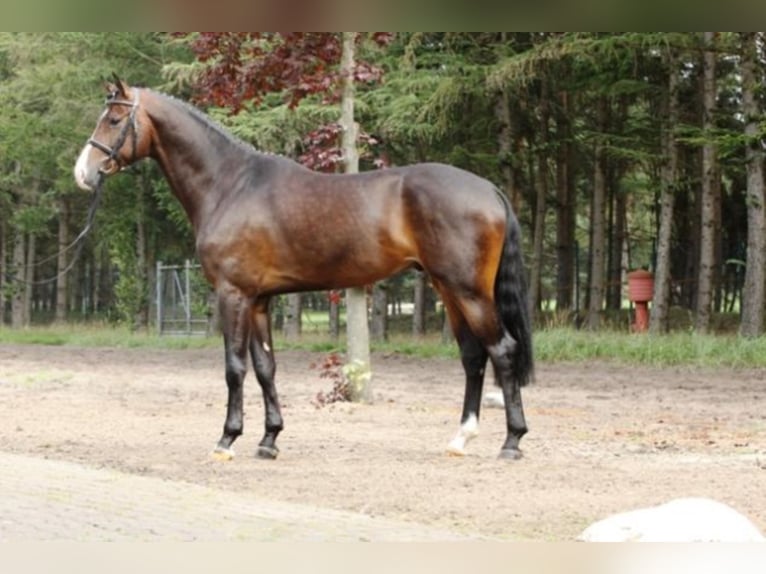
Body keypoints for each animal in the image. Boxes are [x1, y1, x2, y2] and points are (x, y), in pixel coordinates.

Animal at [74, 77, 534, 460]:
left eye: (114, 119)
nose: (83, 173)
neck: (229, 185)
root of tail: (489, 189)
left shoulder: (233, 294)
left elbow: (235, 367)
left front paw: (227, 439)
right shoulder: (259, 300)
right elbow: (265, 367)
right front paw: (269, 439)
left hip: (469, 291)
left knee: (502, 350)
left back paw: (512, 442)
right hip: (448, 289)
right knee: (473, 356)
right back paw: (461, 438)